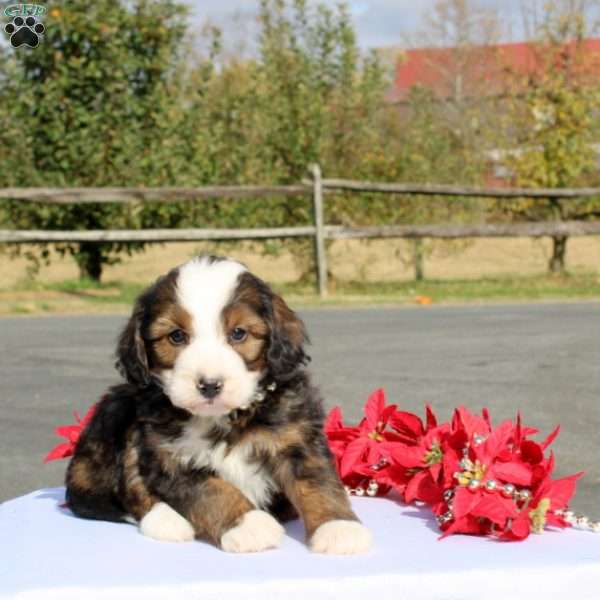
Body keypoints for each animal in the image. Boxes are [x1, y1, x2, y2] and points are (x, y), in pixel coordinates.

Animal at [65, 255, 370, 556]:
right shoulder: (170, 457)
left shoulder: (296, 436)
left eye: (238, 333)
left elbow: (318, 481)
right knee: (132, 486)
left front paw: (339, 528)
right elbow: (214, 491)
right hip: (118, 418)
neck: (226, 418)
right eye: (176, 336)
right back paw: (167, 521)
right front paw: (249, 526)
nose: (210, 385)